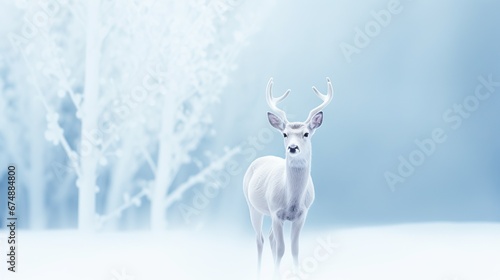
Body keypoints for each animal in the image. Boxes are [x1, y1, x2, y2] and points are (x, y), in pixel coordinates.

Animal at [243, 77, 334, 276]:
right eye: (285, 134)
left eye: (306, 133)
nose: (293, 148)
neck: (291, 199)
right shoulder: (276, 212)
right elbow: (281, 249)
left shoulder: (302, 214)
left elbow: (294, 249)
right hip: (253, 205)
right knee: (260, 239)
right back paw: (258, 273)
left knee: (269, 238)